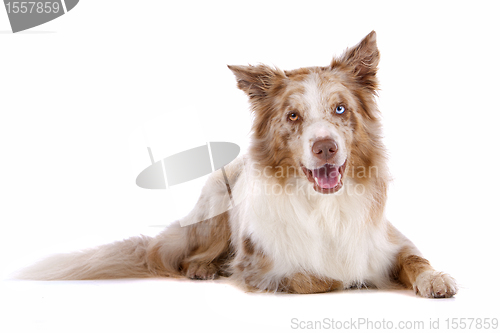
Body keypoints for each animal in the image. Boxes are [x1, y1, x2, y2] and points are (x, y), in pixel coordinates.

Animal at [18, 30, 458, 296]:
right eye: (293, 116)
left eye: (340, 109)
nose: (325, 148)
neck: (324, 205)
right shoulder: (260, 267)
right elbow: (318, 278)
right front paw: (348, 281)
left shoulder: (389, 242)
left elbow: (416, 258)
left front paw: (435, 278)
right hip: (215, 204)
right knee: (187, 255)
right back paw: (202, 268)